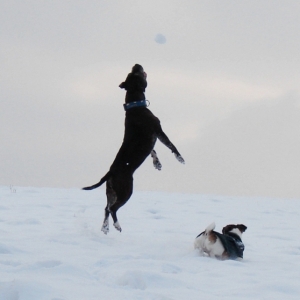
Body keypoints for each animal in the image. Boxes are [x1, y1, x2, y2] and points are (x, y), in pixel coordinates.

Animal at [82, 64, 185, 234]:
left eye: (131, 73)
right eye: (136, 74)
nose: (136, 64)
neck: (135, 105)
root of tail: (110, 172)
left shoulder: (150, 141)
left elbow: (153, 151)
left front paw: (157, 164)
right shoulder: (158, 131)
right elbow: (171, 144)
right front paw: (180, 158)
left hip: (111, 192)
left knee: (106, 208)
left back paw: (105, 227)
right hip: (125, 191)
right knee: (112, 209)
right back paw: (117, 226)